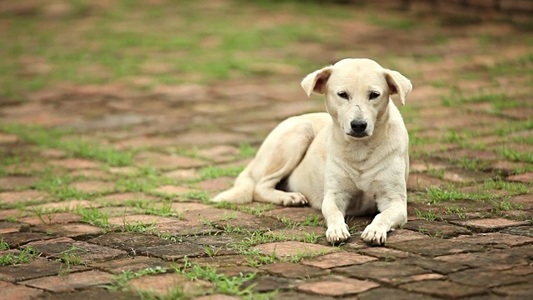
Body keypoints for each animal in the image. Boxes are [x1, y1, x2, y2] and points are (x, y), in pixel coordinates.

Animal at [212, 57, 412, 245]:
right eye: (342, 94)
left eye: (374, 95)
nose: (358, 125)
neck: (359, 149)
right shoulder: (334, 195)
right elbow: (334, 213)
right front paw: (337, 230)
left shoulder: (395, 201)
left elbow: (383, 215)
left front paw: (375, 230)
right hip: (299, 133)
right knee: (259, 187)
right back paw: (289, 197)